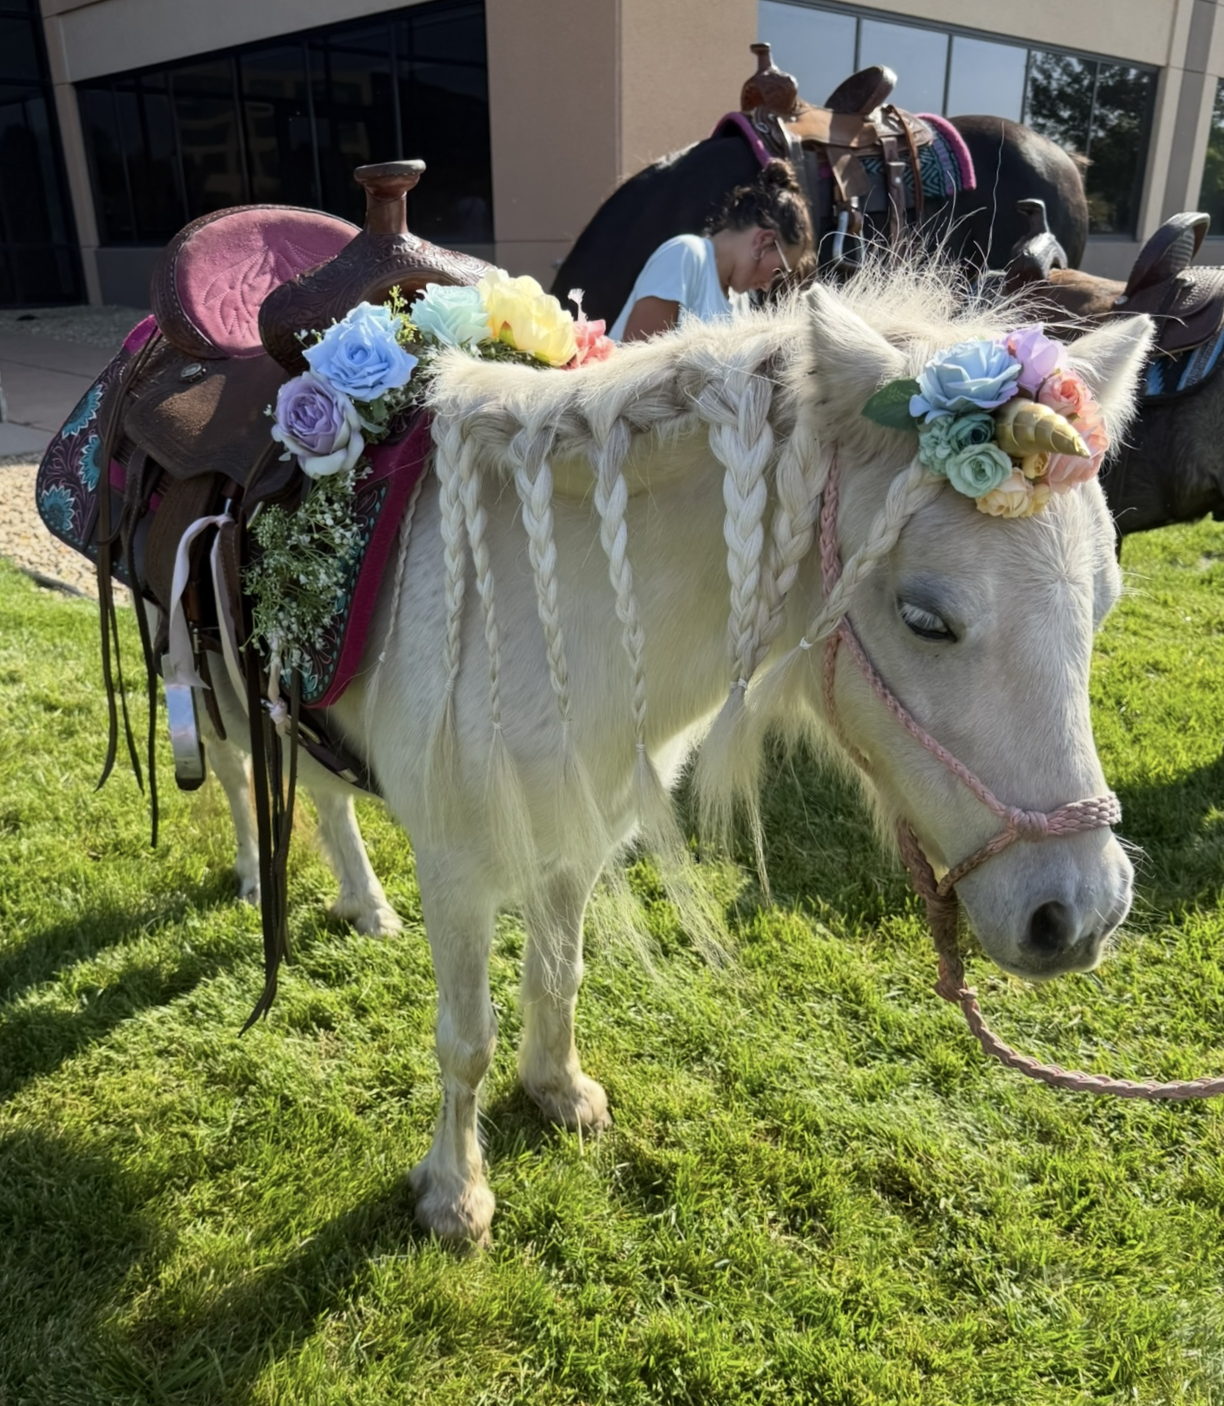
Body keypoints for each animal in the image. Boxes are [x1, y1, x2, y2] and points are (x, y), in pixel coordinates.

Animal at [190, 262, 1151, 1247]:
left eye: (1105, 602)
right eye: (926, 618)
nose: (1082, 915)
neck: (551, 603)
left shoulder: (578, 837)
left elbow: (558, 976)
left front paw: (558, 1090)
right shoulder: (455, 868)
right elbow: (466, 1038)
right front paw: (454, 1194)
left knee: (326, 795)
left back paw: (365, 903)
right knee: (237, 778)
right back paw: (255, 879)